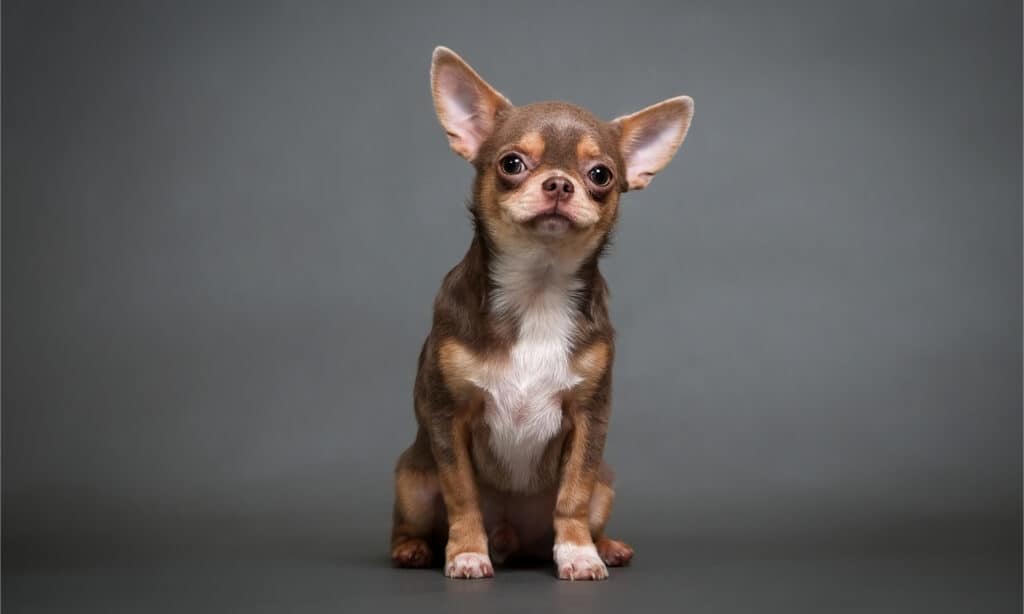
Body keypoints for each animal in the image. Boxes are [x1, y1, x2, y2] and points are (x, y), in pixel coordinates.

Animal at [391, 46, 696, 581]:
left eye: (601, 175)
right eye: (512, 163)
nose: (558, 183)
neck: (538, 289)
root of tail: (512, 537)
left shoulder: (588, 420)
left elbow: (572, 495)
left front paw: (577, 553)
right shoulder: (448, 416)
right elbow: (462, 494)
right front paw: (466, 552)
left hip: (606, 486)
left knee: (585, 505)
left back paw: (605, 546)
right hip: (412, 479)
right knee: (410, 522)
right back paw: (415, 549)